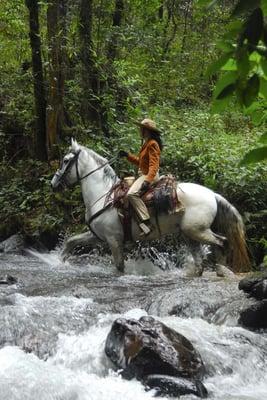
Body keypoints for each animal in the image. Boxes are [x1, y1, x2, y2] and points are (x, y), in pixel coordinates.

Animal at [50, 138, 251, 276]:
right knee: (201, 260)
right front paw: (59, 262)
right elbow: (71, 242)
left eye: (66, 160)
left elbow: (119, 267)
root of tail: (213, 195)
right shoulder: (98, 236)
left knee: (222, 242)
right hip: (190, 234)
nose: (53, 184)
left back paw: (221, 270)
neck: (104, 195)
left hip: (197, 231)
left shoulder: (114, 240)